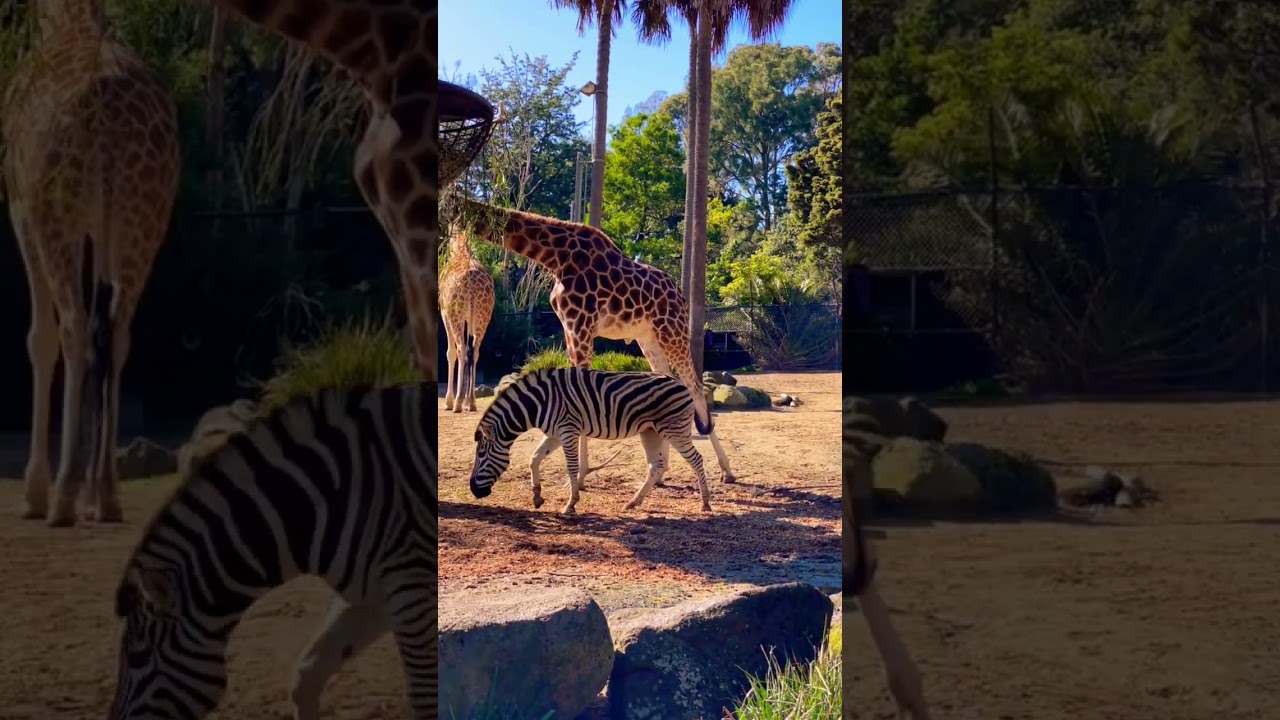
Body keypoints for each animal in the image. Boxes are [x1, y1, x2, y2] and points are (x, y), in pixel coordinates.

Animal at [469, 367, 720, 515]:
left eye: (481, 456)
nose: (474, 491)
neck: (538, 402)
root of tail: (682, 384)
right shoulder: (554, 433)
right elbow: (534, 458)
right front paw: (537, 496)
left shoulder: (567, 430)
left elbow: (571, 467)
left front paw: (570, 504)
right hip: (650, 432)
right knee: (656, 466)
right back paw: (633, 502)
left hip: (674, 430)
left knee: (696, 460)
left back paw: (705, 503)